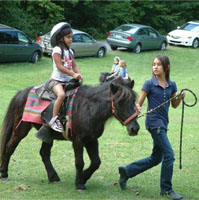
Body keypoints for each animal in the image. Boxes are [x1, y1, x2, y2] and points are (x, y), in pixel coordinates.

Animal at [0, 77, 140, 190]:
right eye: (120, 102)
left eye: (133, 100)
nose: (135, 128)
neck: (89, 108)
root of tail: (21, 93)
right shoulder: (78, 141)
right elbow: (80, 162)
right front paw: (79, 184)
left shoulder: (92, 139)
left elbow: (96, 162)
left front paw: (83, 177)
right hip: (21, 129)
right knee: (9, 147)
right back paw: (4, 173)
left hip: (47, 135)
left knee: (44, 153)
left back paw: (53, 177)